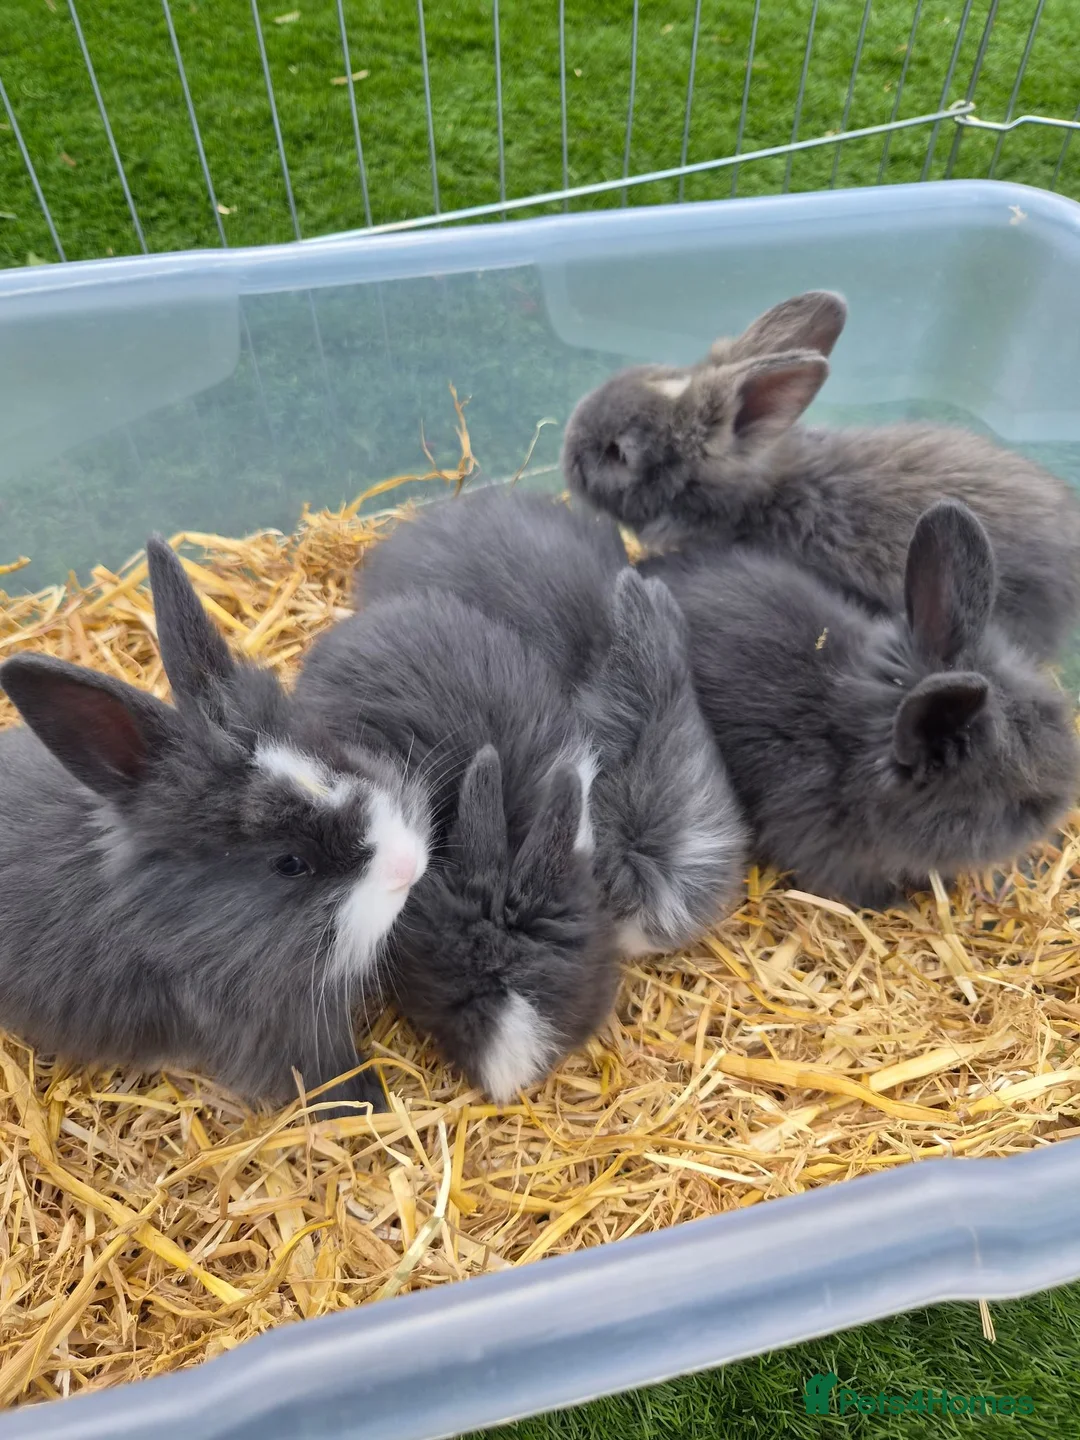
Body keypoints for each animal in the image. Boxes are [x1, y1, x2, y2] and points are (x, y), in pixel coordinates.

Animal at [0, 537, 433, 1117]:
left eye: (331, 752)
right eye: (289, 864)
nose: (408, 865)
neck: (170, 925)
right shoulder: (278, 1030)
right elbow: (329, 1076)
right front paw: (373, 1104)